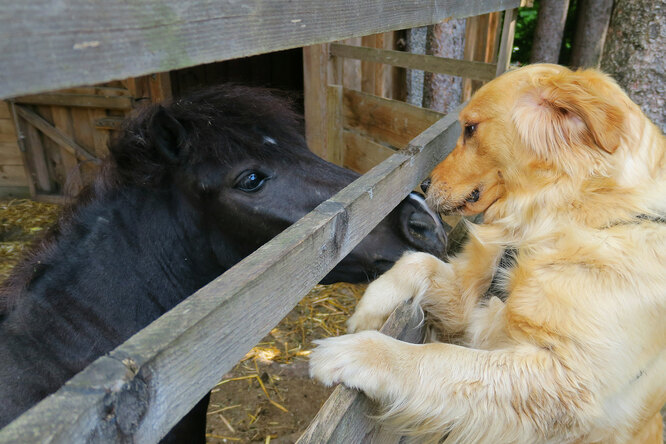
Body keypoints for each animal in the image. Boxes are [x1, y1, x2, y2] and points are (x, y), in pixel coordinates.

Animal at [308, 63, 660, 444]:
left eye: (471, 129)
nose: (425, 186)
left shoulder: (563, 381)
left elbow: (437, 357)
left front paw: (354, 350)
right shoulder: (469, 303)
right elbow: (418, 262)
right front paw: (367, 314)